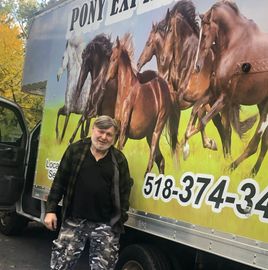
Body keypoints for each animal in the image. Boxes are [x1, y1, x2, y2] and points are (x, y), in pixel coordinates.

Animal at [104, 34, 178, 173]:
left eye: (114, 59)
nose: (105, 80)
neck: (126, 91)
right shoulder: (117, 125)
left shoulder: (124, 129)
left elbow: (119, 150)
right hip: (149, 134)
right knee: (161, 160)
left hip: (156, 131)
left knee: (151, 162)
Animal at [195, 1, 268, 176]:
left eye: (204, 35)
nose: (197, 66)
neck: (234, 46)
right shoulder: (214, 93)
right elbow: (199, 113)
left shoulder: (225, 97)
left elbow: (204, 121)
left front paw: (210, 143)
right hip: (262, 104)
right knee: (264, 143)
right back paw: (252, 172)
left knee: (255, 144)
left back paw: (230, 168)